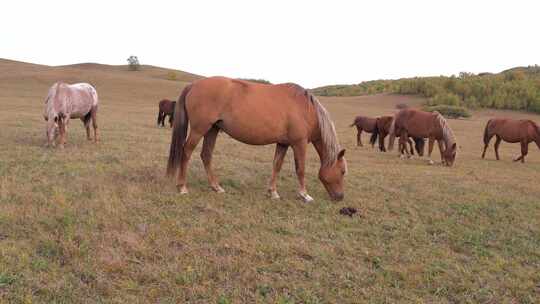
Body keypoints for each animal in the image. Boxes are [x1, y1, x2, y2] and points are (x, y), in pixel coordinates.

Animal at [167, 77, 348, 203]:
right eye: (342, 171)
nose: (340, 197)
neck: (305, 109)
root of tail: (194, 84)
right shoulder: (299, 143)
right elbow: (300, 169)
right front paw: (305, 195)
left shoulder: (283, 143)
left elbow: (277, 165)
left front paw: (273, 192)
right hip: (199, 129)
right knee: (186, 152)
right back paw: (182, 187)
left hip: (212, 129)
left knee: (206, 155)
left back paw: (216, 187)